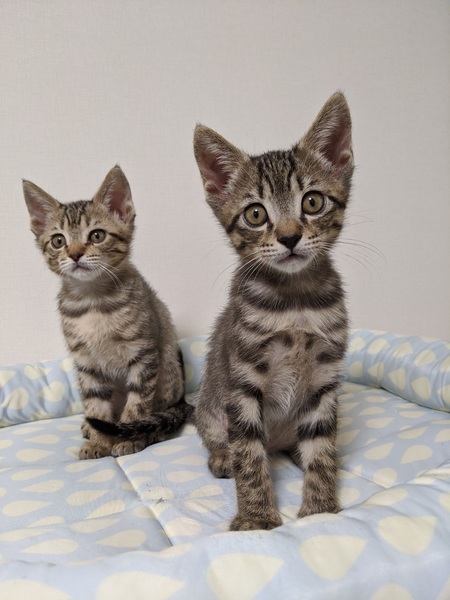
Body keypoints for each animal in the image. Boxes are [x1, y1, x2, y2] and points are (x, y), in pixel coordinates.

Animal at [23, 165, 192, 459]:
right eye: (58, 241)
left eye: (97, 235)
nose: (75, 254)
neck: (94, 302)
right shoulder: (86, 364)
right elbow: (96, 406)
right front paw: (99, 443)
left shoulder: (143, 354)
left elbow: (138, 401)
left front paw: (128, 437)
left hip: (168, 373)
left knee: (163, 415)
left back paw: (149, 432)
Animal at [193, 92, 353, 531]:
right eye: (255, 214)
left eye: (312, 202)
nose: (290, 237)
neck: (295, 302)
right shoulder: (243, 378)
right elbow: (249, 454)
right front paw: (256, 519)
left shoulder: (323, 378)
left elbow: (321, 446)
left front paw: (319, 510)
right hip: (211, 404)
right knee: (220, 437)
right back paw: (222, 456)